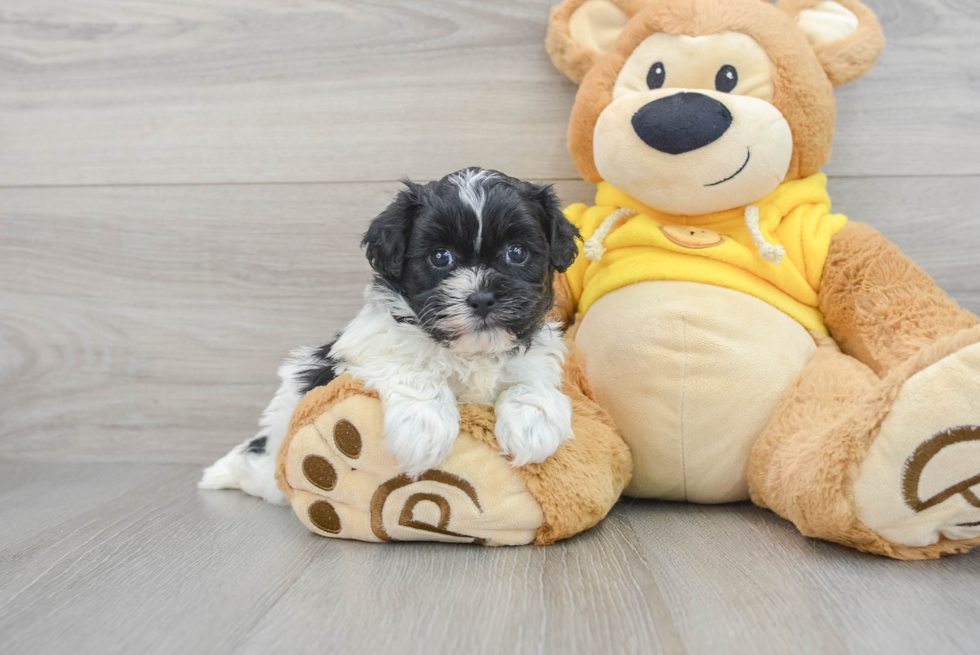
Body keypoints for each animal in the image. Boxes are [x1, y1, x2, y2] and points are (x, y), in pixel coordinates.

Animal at [200, 168, 580, 502]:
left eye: (516, 252)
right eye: (440, 257)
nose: (482, 297)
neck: (468, 351)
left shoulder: (533, 357)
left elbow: (530, 381)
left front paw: (533, 424)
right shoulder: (359, 355)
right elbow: (413, 369)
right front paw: (425, 427)